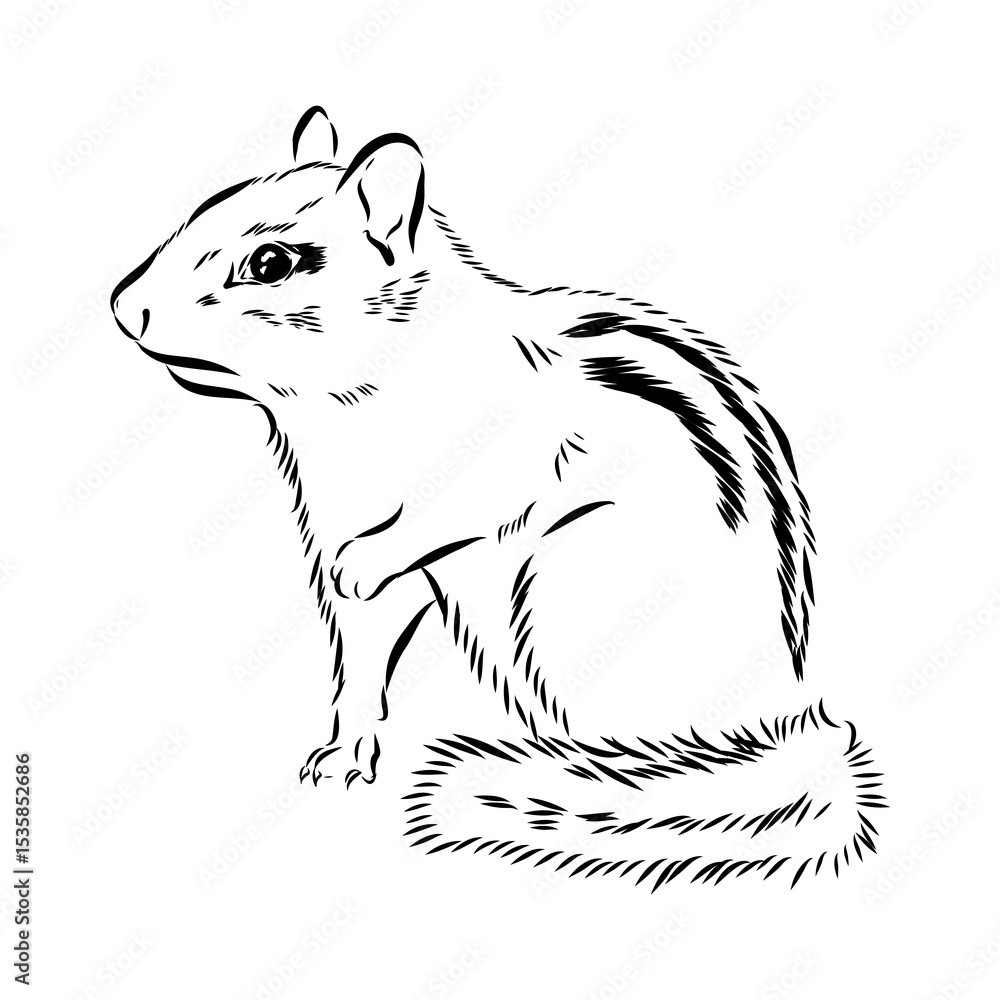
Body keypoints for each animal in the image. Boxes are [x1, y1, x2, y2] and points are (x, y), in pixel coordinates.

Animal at [111, 106, 884, 888]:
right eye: (196, 213)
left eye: (269, 264)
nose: (124, 308)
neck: (336, 417)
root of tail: (789, 728)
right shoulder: (341, 526)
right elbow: (361, 654)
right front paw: (346, 749)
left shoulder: (505, 452)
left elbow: (463, 504)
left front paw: (364, 562)